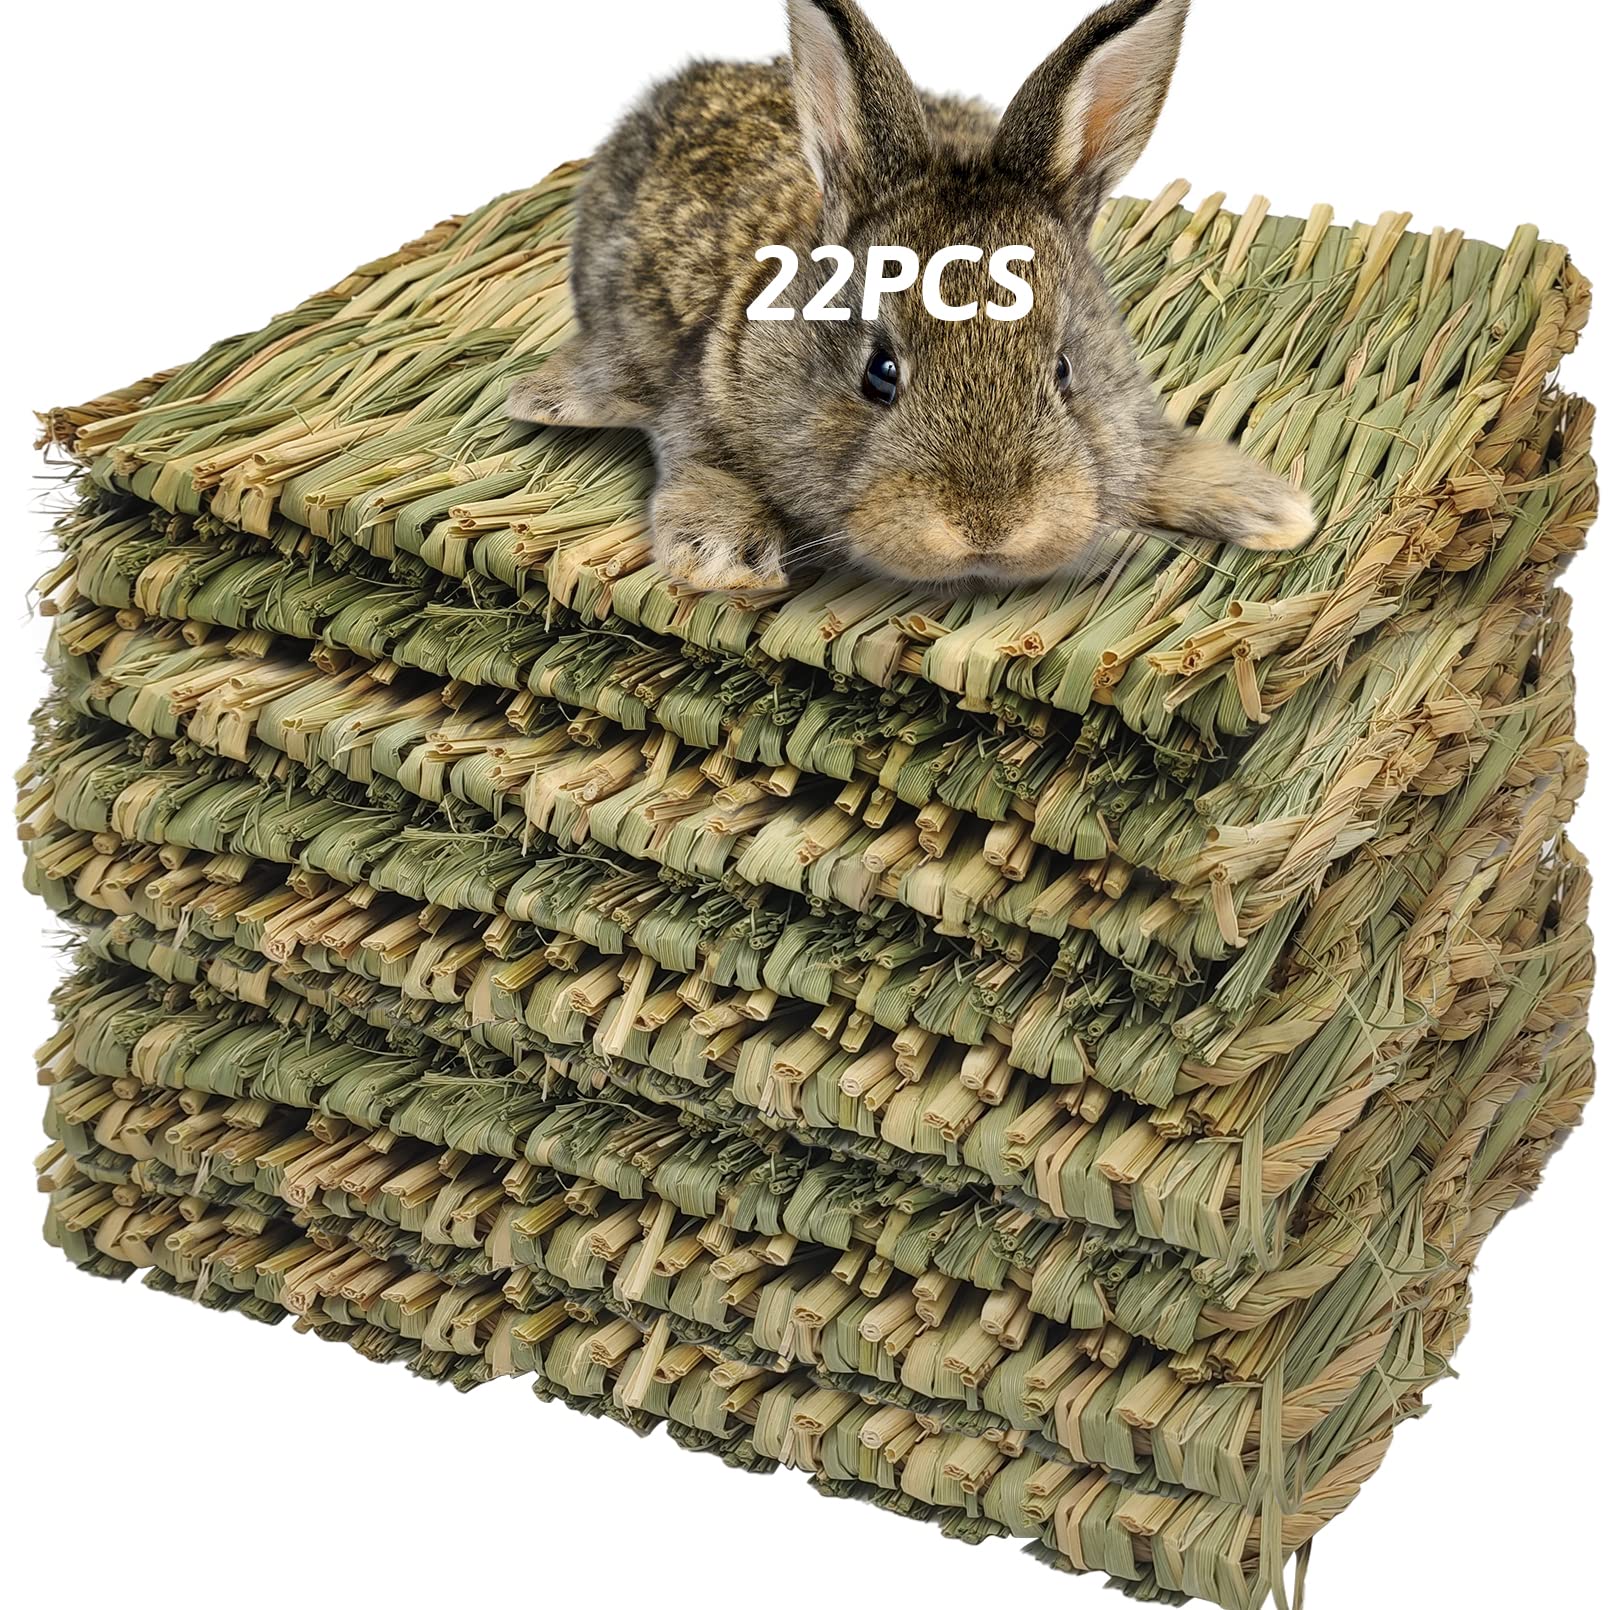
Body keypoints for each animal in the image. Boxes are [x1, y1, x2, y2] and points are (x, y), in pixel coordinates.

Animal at [507, 0, 1316, 593]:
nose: (989, 527)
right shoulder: (699, 403)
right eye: (880, 373)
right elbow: (708, 468)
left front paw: (1272, 509)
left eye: (1064, 371)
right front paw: (723, 559)